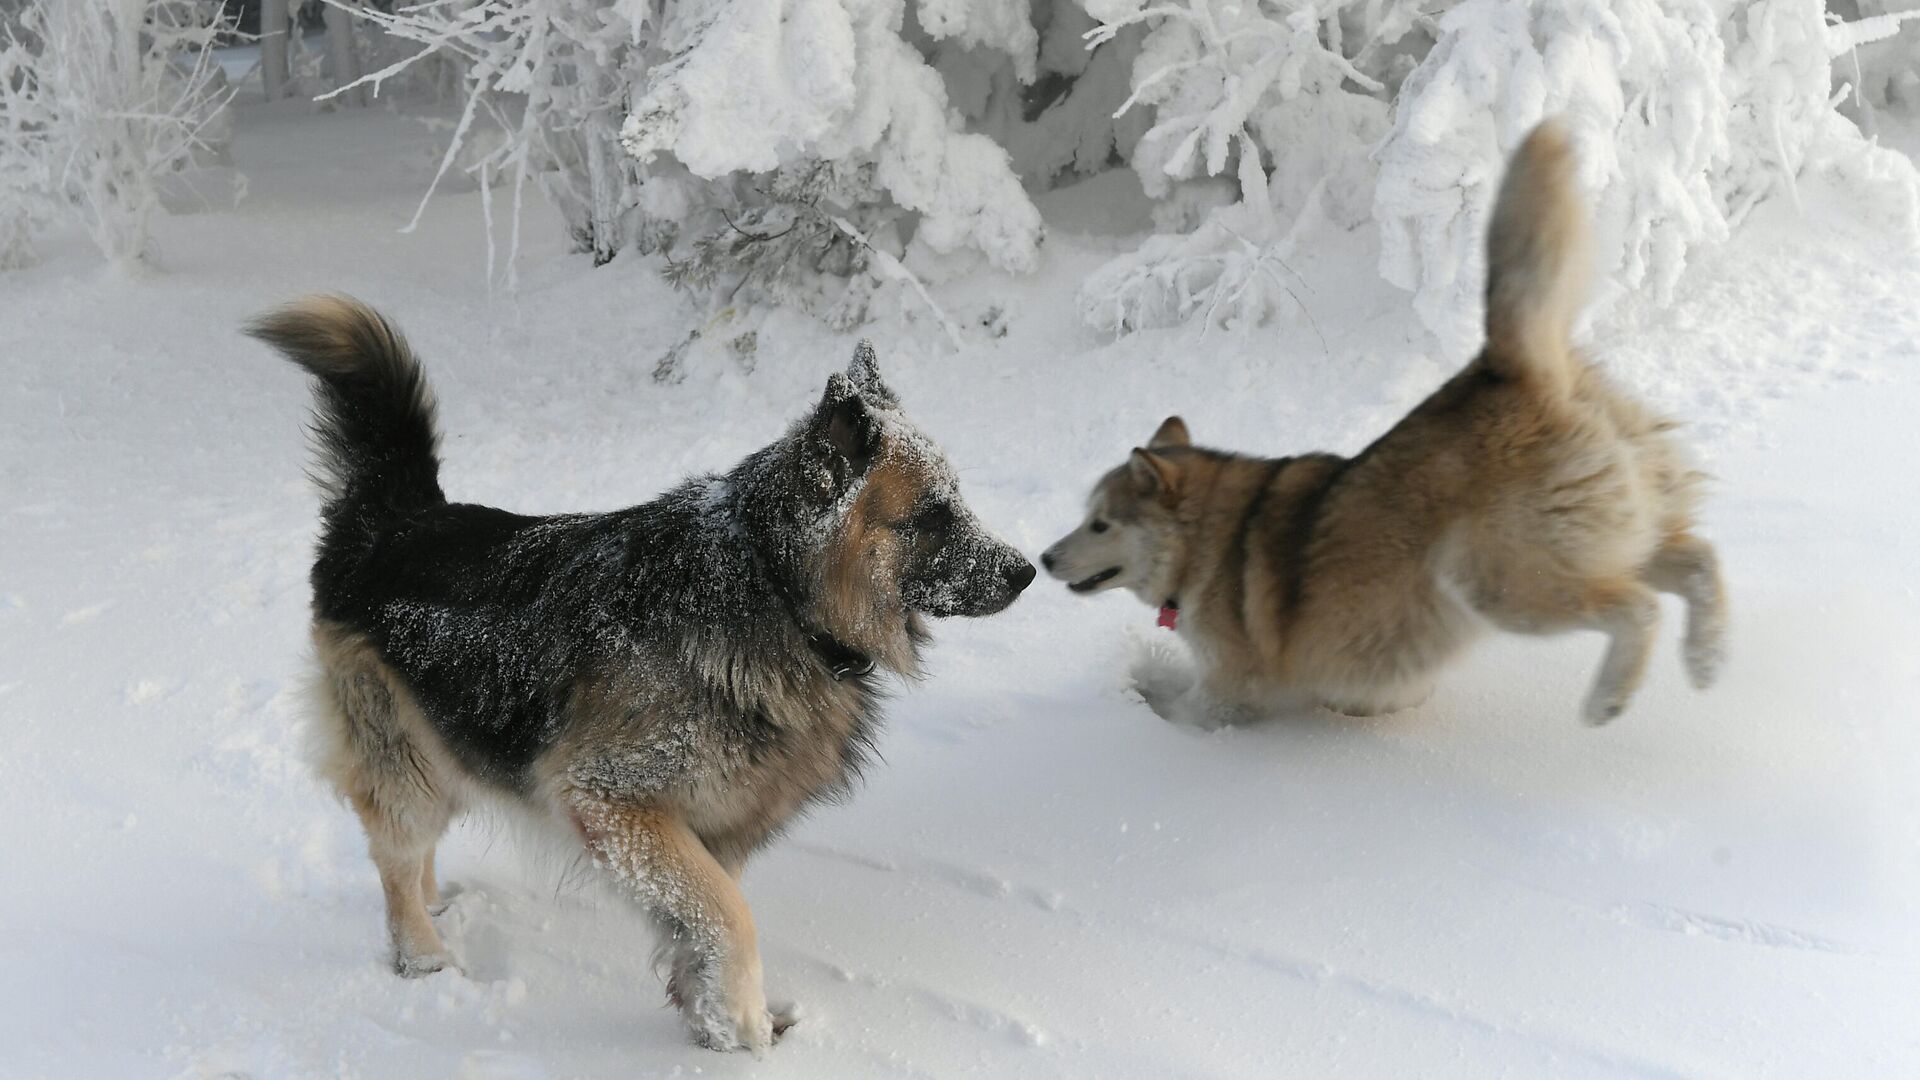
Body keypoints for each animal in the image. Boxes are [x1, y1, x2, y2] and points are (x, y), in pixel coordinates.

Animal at [259, 295, 1036, 1053]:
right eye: (933, 514)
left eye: (957, 501)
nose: (1026, 571)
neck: (773, 588)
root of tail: (395, 518)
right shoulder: (611, 800)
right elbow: (731, 915)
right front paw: (744, 1026)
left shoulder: (711, 824)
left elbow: (704, 923)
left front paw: (711, 1020)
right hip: (402, 760)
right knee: (394, 857)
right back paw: (424, 955)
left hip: (446, 744)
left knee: (414, 850)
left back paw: (439, 901)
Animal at [1044, 119, 1735, 722]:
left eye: (1100, 524)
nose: (1045, 560)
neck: (1208, 544)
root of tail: (1512, 371)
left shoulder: (1231, 692)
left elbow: (1185, 708)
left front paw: (1144, 700)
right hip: (1617, 534)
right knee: (1699, 559)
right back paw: (1707, 660)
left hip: (1501, 584)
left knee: (1639, 607)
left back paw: (1609, 699)